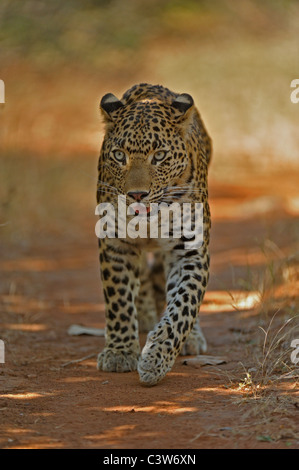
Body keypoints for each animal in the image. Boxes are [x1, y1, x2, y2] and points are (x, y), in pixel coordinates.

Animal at [95, 83, 211, 386]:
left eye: (159, 156)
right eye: (119, 155)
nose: (137, 194)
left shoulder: (188, 250)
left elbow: (183, 305)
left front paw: (156, 358)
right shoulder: (116, 243)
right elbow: (118, 297)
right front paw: (120, 351)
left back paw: (192, 338)